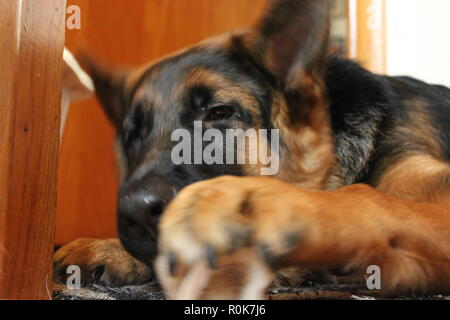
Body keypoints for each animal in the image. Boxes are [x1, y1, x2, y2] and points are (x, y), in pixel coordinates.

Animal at [55, 0, 450, 300]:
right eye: (132, 137)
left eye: (219, 113)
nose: (135, 211)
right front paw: (106, 247)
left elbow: (366, 196)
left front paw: (250, 204)